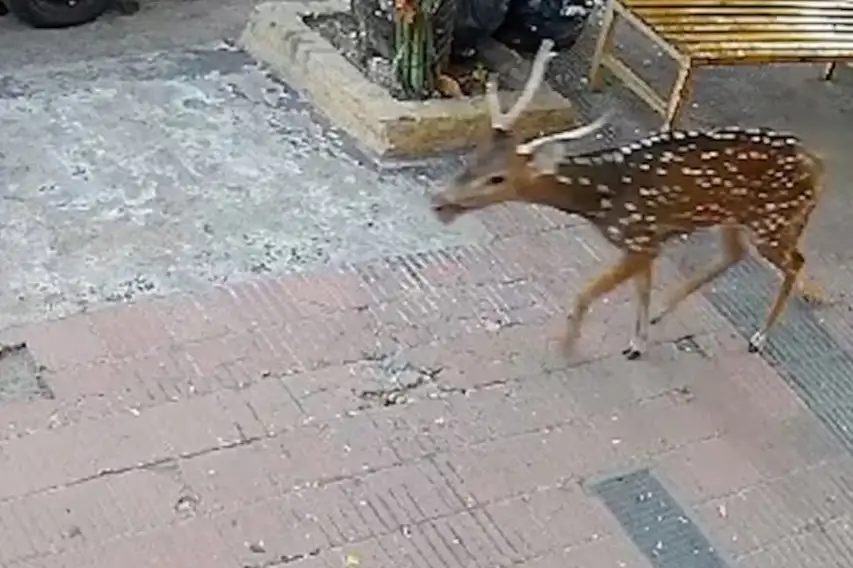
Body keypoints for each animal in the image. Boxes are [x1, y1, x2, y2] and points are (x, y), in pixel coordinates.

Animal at [431, 39, 826, 360]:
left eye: (497, 177)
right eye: (474, 157)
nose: (439, 202)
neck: (602, 198)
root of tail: (819, 166)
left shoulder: (639, 238)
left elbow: (585, 293)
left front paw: (567, 346)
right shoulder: (648, 241)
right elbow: (642, 291)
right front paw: (637, 342)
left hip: (774, 221)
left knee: (795, 261)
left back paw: (760, 337)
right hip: (734, 216)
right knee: (736, 253)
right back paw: (665, 311)